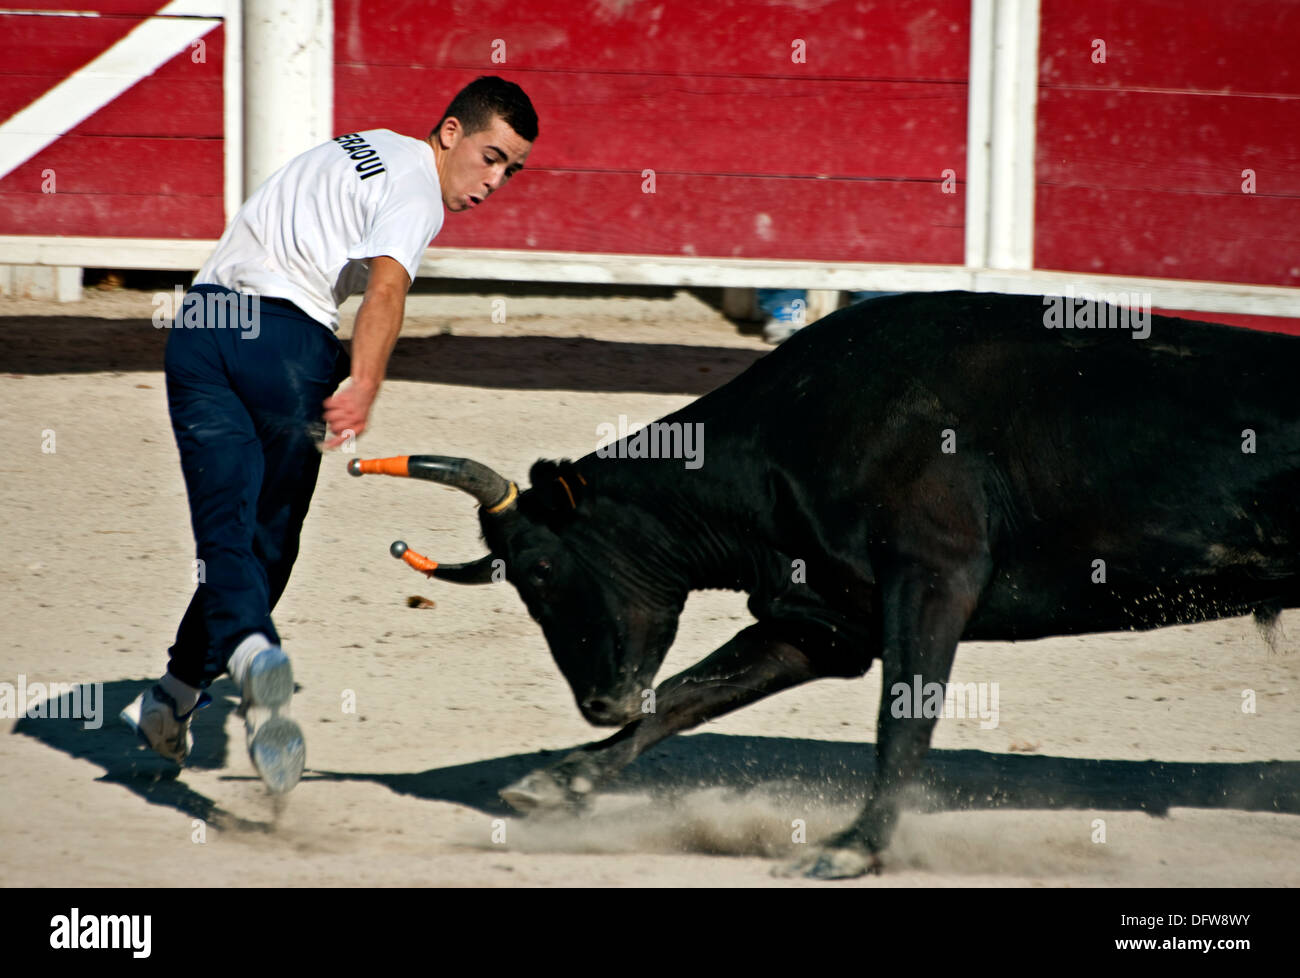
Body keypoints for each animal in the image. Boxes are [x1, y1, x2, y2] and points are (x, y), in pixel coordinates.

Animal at [349, 290, 1300, 879]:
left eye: (542, 568)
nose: (597, 702)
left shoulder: (932, 577)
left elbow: (901, 720)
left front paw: (854, 846)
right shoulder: (825, 621)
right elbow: (688, 696)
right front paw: (559, 780)